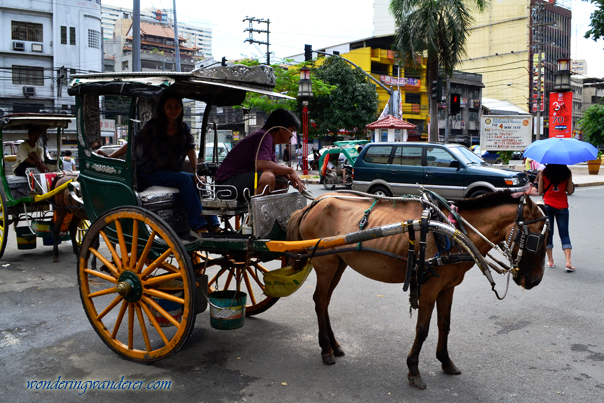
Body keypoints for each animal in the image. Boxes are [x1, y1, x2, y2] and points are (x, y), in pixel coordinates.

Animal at [286, 191, 548, 390]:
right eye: (536, 240)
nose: (534, 281)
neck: (454, 232)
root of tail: (313, 204)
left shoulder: (447, 288)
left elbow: (445, 324)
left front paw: (446, 361)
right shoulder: (429, 287)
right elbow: (422, 329)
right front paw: (413, 369)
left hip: (339, 262)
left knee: (326, 302)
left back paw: (335, 345)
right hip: (325, 263)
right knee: (320, 301)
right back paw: (326, 349)